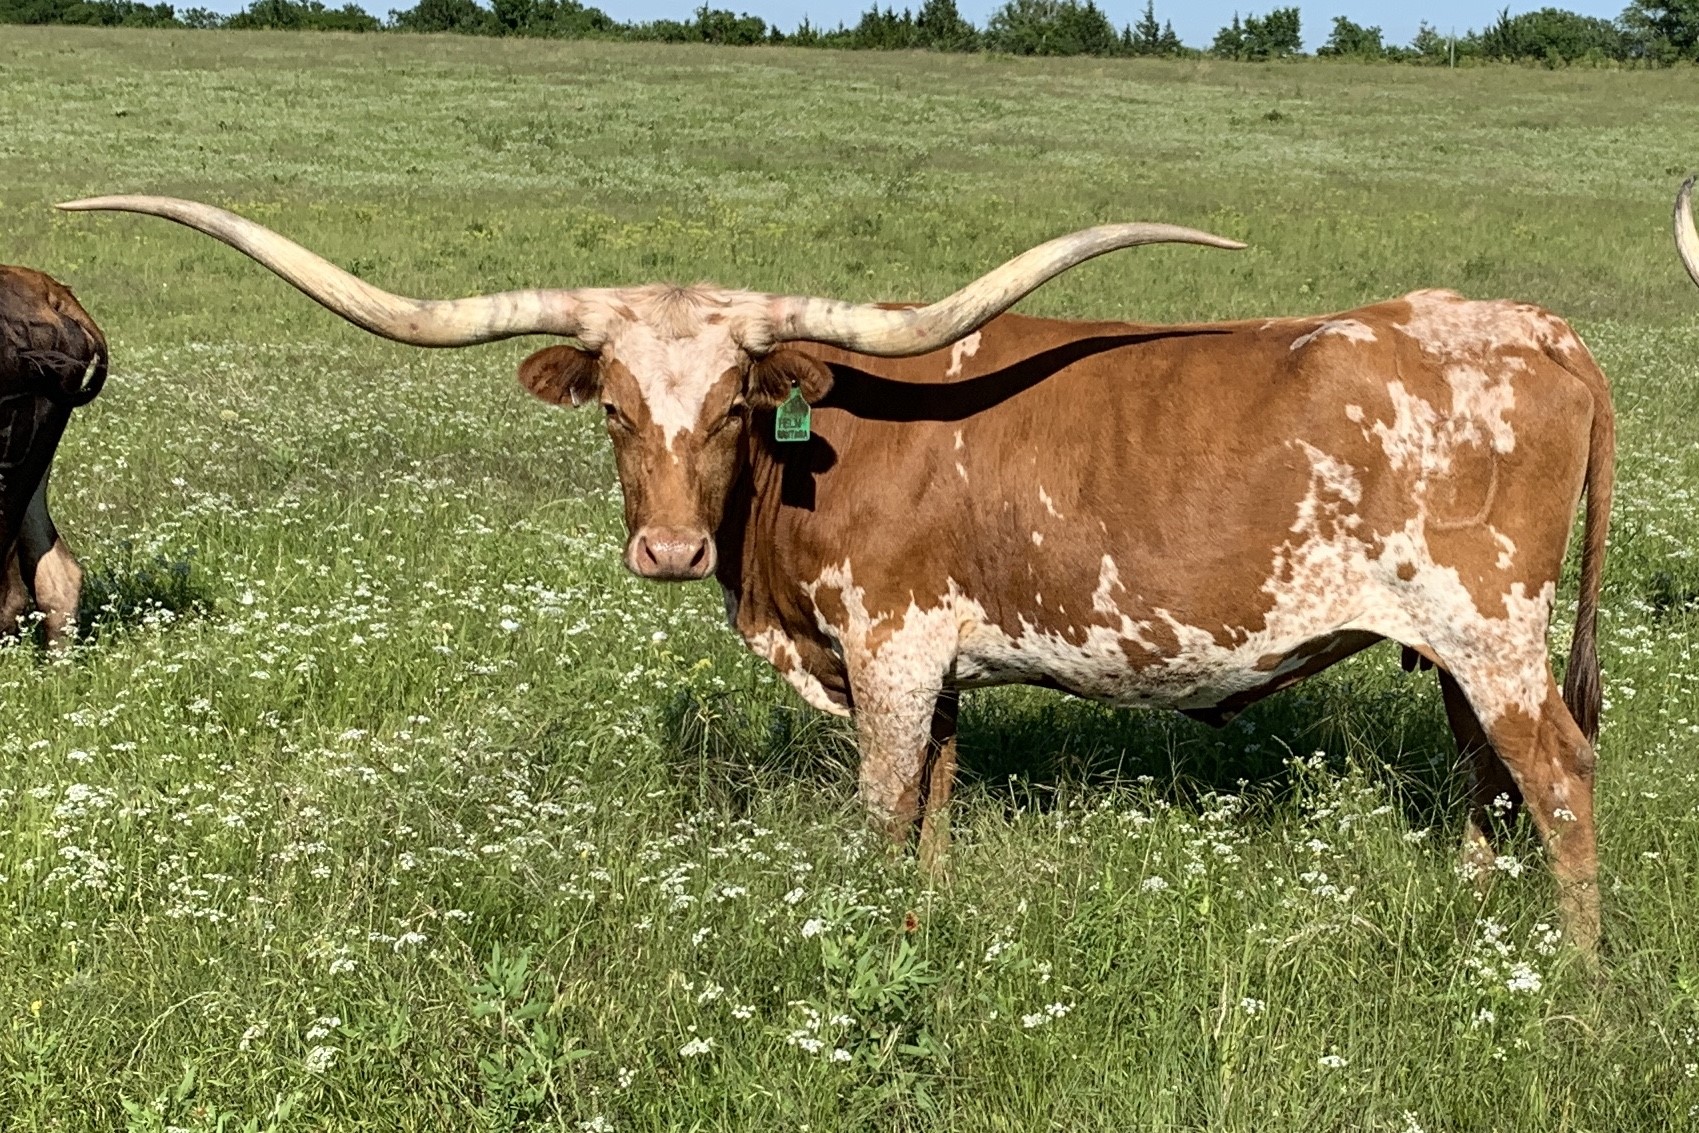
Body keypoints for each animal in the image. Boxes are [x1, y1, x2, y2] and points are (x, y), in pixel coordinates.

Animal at [58, 195, 1614, 953]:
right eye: (613, 408)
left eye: (736, 406)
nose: (669, 548)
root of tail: (1538, 328)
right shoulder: (936, 672)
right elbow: (929, 814)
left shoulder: (892, 646)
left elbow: (878, 816)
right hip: (1461, 653)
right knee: (1487, 781)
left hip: (1491, 629)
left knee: (1562, 779)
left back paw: (1581, 986)